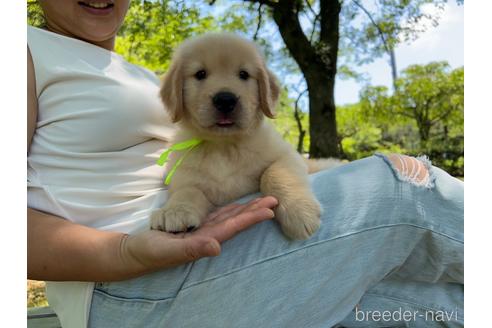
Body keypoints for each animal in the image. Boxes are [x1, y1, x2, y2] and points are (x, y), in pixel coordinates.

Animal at [152, 34, 332, 238]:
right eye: (200, 74)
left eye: (244, 74)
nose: (225, 100)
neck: (223, 146)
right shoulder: (184, 176)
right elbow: (187, 190)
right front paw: (175, 210)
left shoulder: (286, 155)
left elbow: (275, 173)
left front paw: (299, 210)